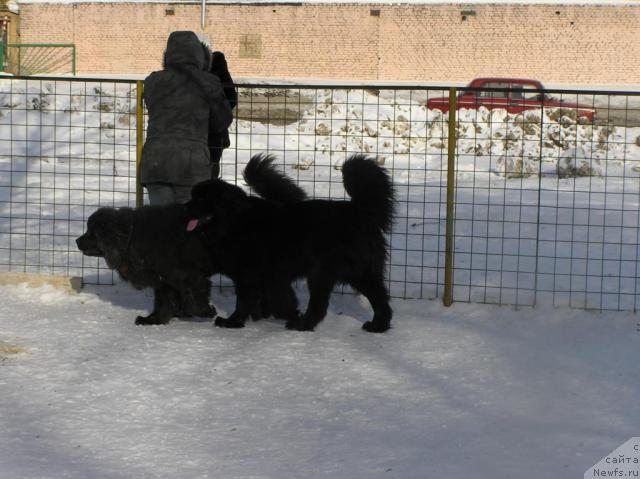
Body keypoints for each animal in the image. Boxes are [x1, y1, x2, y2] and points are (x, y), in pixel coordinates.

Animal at [75, 206, 218, 326]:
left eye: (92, 233)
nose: (76, 241)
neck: (132, 238)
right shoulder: (164, 281)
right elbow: (163, 302)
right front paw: (153, 320)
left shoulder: (188, 276)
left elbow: (195, 300)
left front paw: (208, 311)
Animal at [185, 154, 396, 334]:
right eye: (192, 196)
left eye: (201, 199)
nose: (185, 207)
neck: (234, 221)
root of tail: (360, 211)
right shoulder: (272, 277)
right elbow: (277, 299)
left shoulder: (252, 276)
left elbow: (248, 302)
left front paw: (232, 322)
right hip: (360, 273)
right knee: (380, 299)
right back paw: (378, 326)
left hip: (322, 273)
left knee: (319, 305)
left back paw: (303, 325)